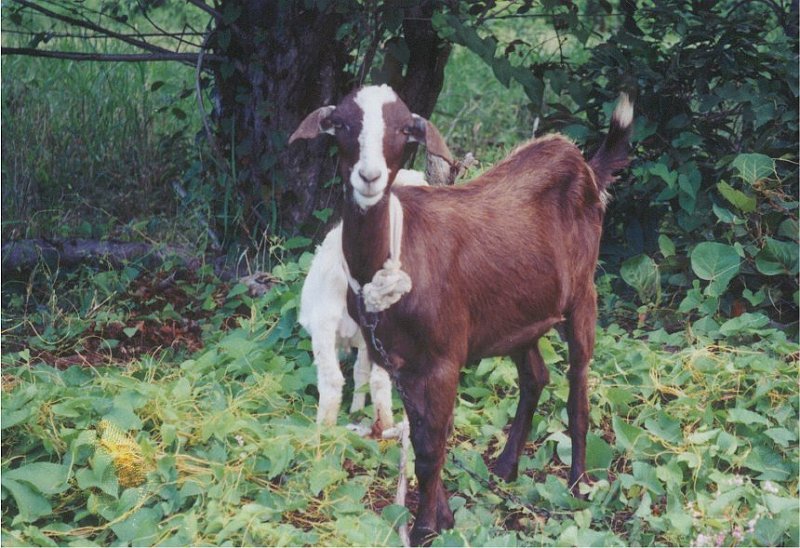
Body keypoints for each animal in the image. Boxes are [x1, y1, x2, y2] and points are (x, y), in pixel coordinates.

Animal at [298, 168, 428, 436]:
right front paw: (357, 412)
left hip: (325, 326)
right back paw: (382, 424)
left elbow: (358, 373)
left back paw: (324, 432)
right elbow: (362, 372)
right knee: (377, 379)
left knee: (332, 379)